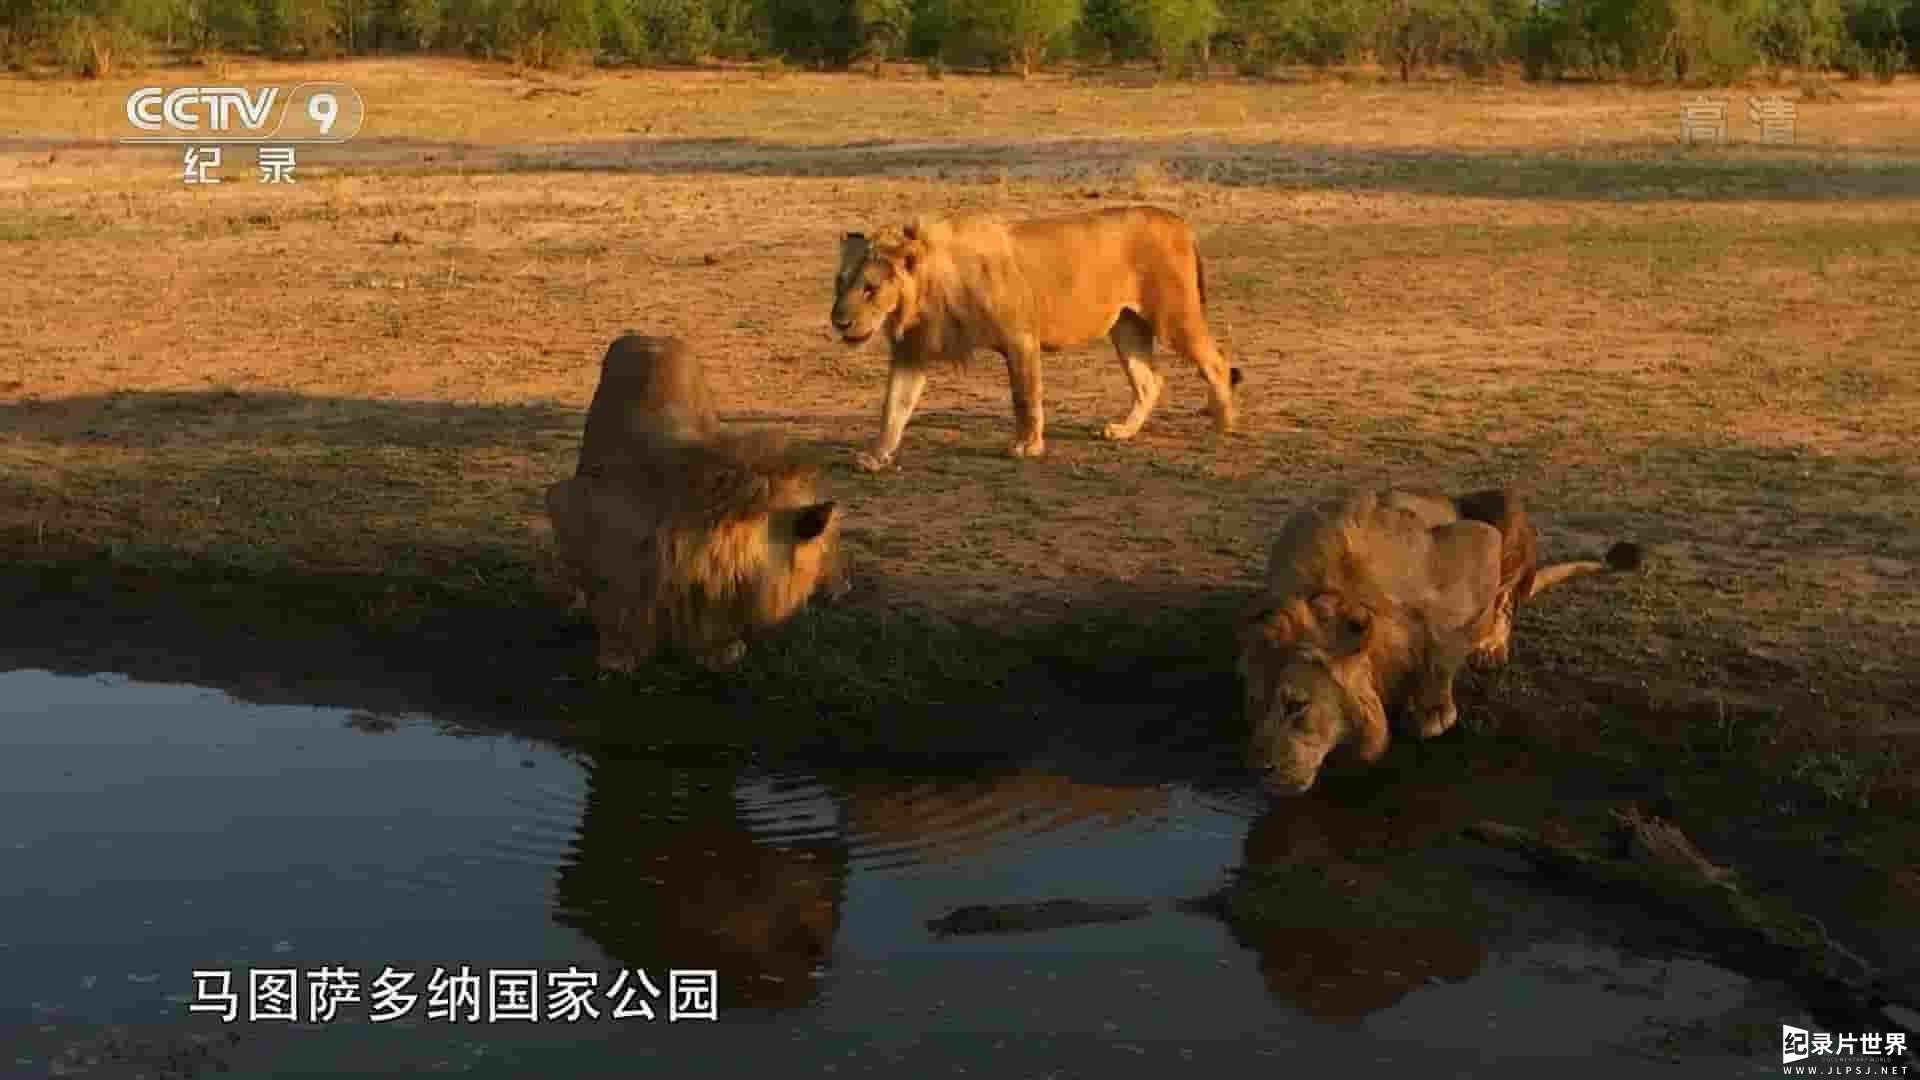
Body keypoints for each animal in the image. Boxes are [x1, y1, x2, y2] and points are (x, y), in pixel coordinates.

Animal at [825, 203, 1244, 468]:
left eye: (870, 288)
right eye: (841, 283)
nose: (839, 322)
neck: (928, 291)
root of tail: (1178, 220)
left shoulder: (1020, 337)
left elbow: (1025, 397)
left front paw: (1027, 446)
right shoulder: (913, 352)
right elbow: (893, 408)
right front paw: (877, 455)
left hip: (1173, 317)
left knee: (1216, 362)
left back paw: (1223, 423)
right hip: (1126, 327)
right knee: (1149, 381)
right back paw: (1124, 431)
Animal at [1236, 486, 1643, 791]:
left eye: (1295, 705)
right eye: (1255, 704)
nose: (1256, 769)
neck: (1337, 593)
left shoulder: (1479, 541)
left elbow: (1445, 643)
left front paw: (1432, 711)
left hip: (1505, 506)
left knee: (1506, 602)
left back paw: (1490, 648)